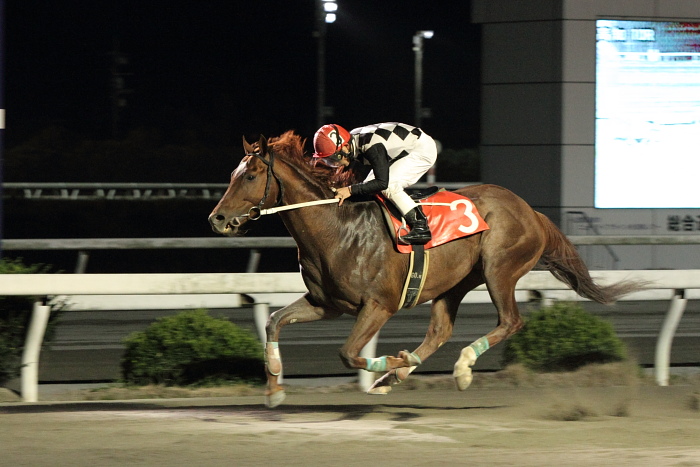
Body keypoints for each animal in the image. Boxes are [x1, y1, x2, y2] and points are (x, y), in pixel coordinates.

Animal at [208, 130, 640, 408]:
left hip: (499, 268)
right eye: (231, 174)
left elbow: (348, 353)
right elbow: (273, 321)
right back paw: (400, 374)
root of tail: (530, 211)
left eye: (250, 175)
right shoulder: (326, 303)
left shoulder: (378, 305)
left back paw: (459, 369)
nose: (218, 219)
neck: (337, 228)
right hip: (454, 283)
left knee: (510, 321)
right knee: (440, 331)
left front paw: (392, 361)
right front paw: (274, 388)